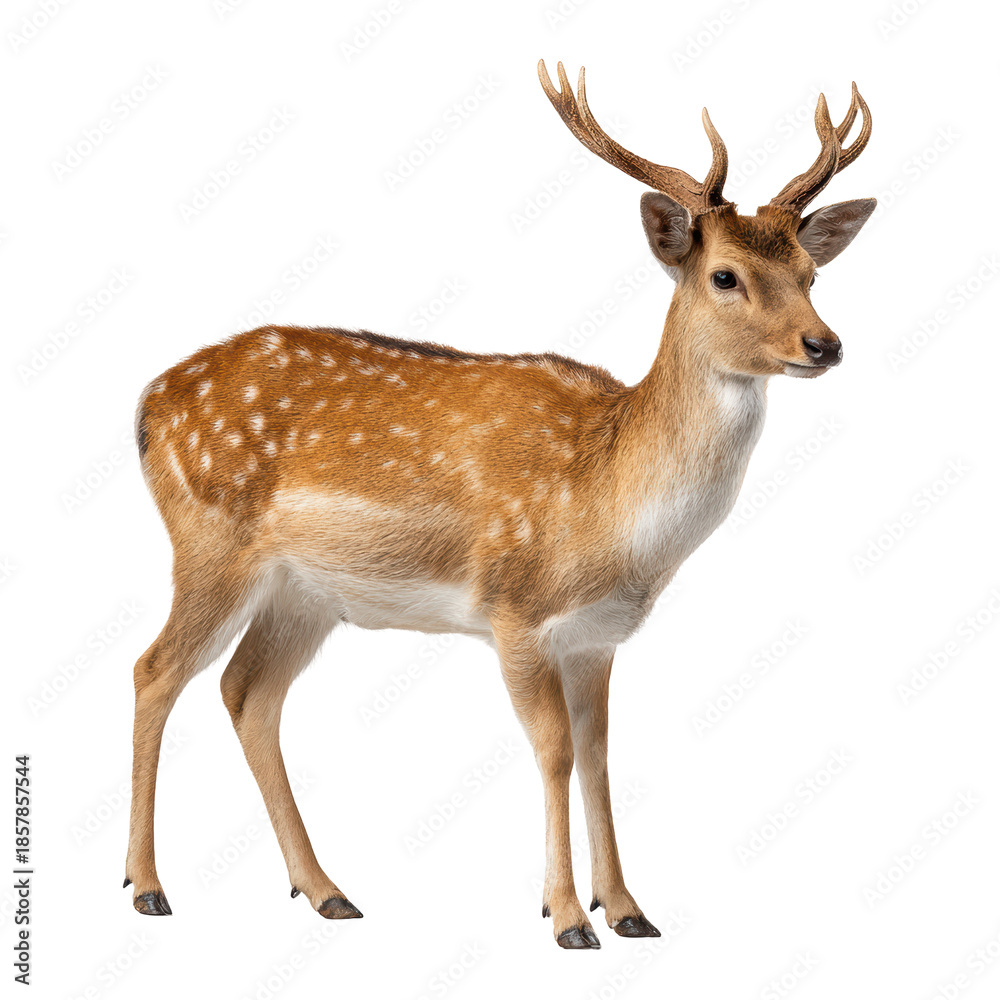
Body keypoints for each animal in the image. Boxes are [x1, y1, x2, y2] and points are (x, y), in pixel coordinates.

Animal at [124, 60, 875, 949]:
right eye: (726, 275)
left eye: (811, 274)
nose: (824, 344)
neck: (609, 514)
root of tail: (147, 407)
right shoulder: (514, 610)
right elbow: (553, 752)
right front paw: (566, 918)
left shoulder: (597, 637)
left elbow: (599, 755)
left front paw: (628, 908)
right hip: (209, 544)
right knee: (154, 670)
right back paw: (147, 886)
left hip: (304, 593)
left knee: (247, 693)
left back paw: (327, 890)